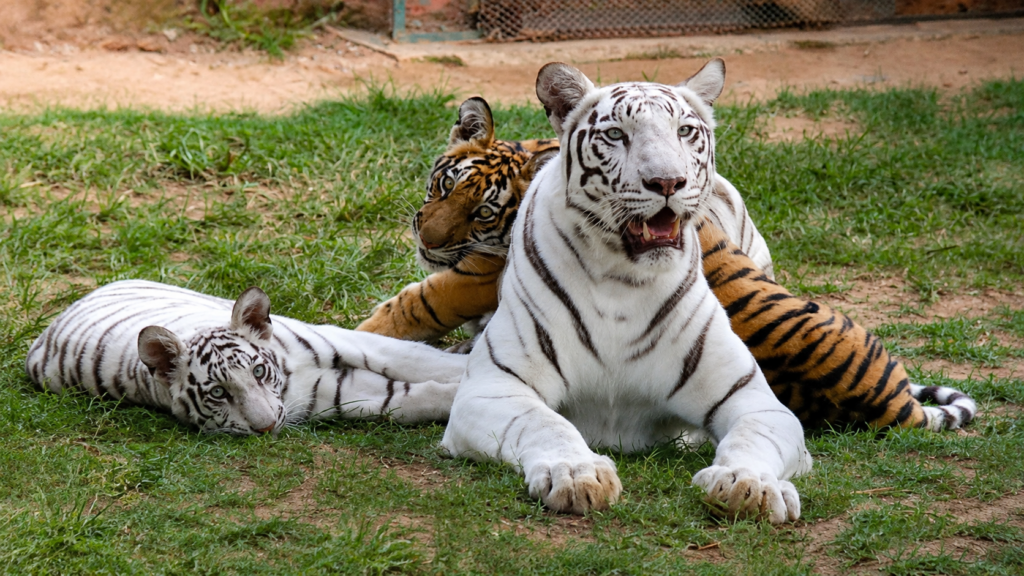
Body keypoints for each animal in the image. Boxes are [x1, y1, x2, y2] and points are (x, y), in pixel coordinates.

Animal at [25, 280, 467, 434]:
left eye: (257, 371)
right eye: (218, 394)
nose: (267, 427)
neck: (290, 376)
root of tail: (45, 335)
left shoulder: (352, 342)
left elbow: (421, 362)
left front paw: (468, 370)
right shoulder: (335, 394)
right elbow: (408, 398)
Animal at [356, 95, 773, 341]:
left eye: (484, 213)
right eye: (445, 184)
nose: (427, 239)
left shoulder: (474, 277)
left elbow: (415, 305)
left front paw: (363, 333)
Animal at [441, 59, 813, 523]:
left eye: (684, 131)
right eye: (617, 134)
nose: (668, 182)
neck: (624, 278)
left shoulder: (751, 397)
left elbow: (754, 437)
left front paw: (749, 484)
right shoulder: (495, 384)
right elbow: (546, 424)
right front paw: (576, 472)